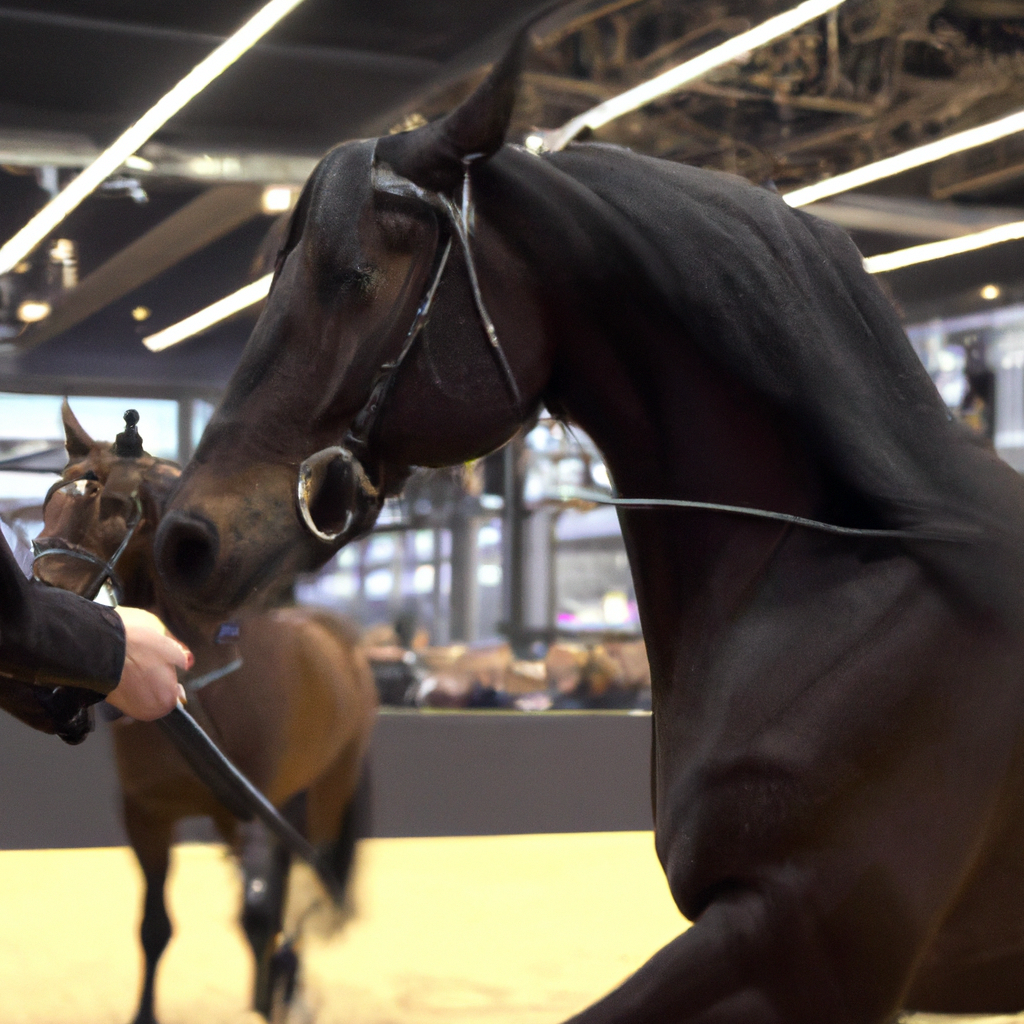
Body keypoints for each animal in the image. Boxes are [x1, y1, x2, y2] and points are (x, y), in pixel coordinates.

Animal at [37, 403, 380, 1024]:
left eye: (111, 507)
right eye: (50, 498)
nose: (55, 686)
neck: (202, 681)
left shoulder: (253, 817)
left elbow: (261, 917)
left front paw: (277, 995)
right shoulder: (147, 818)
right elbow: (154, 927)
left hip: (320, 793)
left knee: (305, 881)